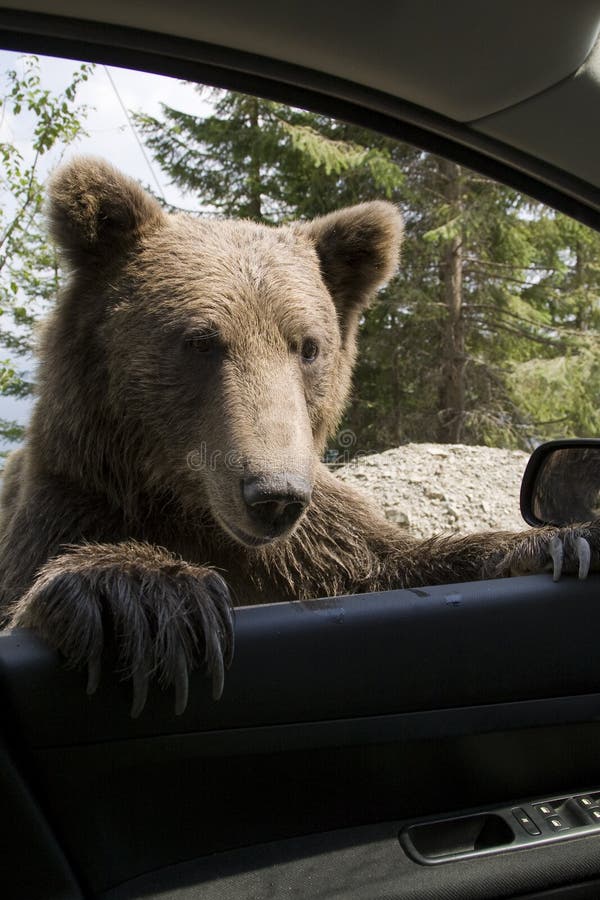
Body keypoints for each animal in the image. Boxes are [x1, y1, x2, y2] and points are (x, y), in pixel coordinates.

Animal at [0, 156, 596, 716]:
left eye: (308, 346)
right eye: (200, 340)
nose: (274, 495)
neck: (188, 506)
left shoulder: (315, 548)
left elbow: (393, 561)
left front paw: (559, 541)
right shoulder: (75, 502)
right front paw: (142, 594)